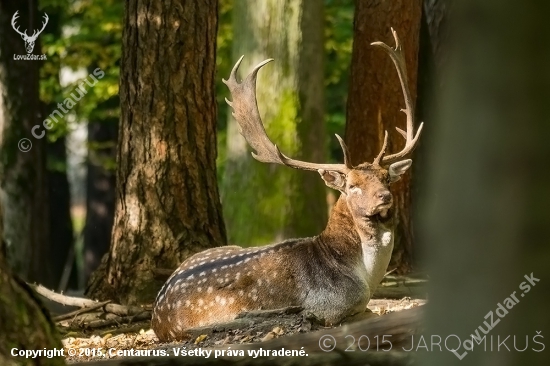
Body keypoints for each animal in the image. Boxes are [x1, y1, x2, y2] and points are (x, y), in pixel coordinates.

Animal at [151, 29, 422, 344]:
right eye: (353, 185)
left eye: (385, 177)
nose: (384, 197)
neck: (364, 277)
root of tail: (157, 317)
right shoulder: (329, 307)